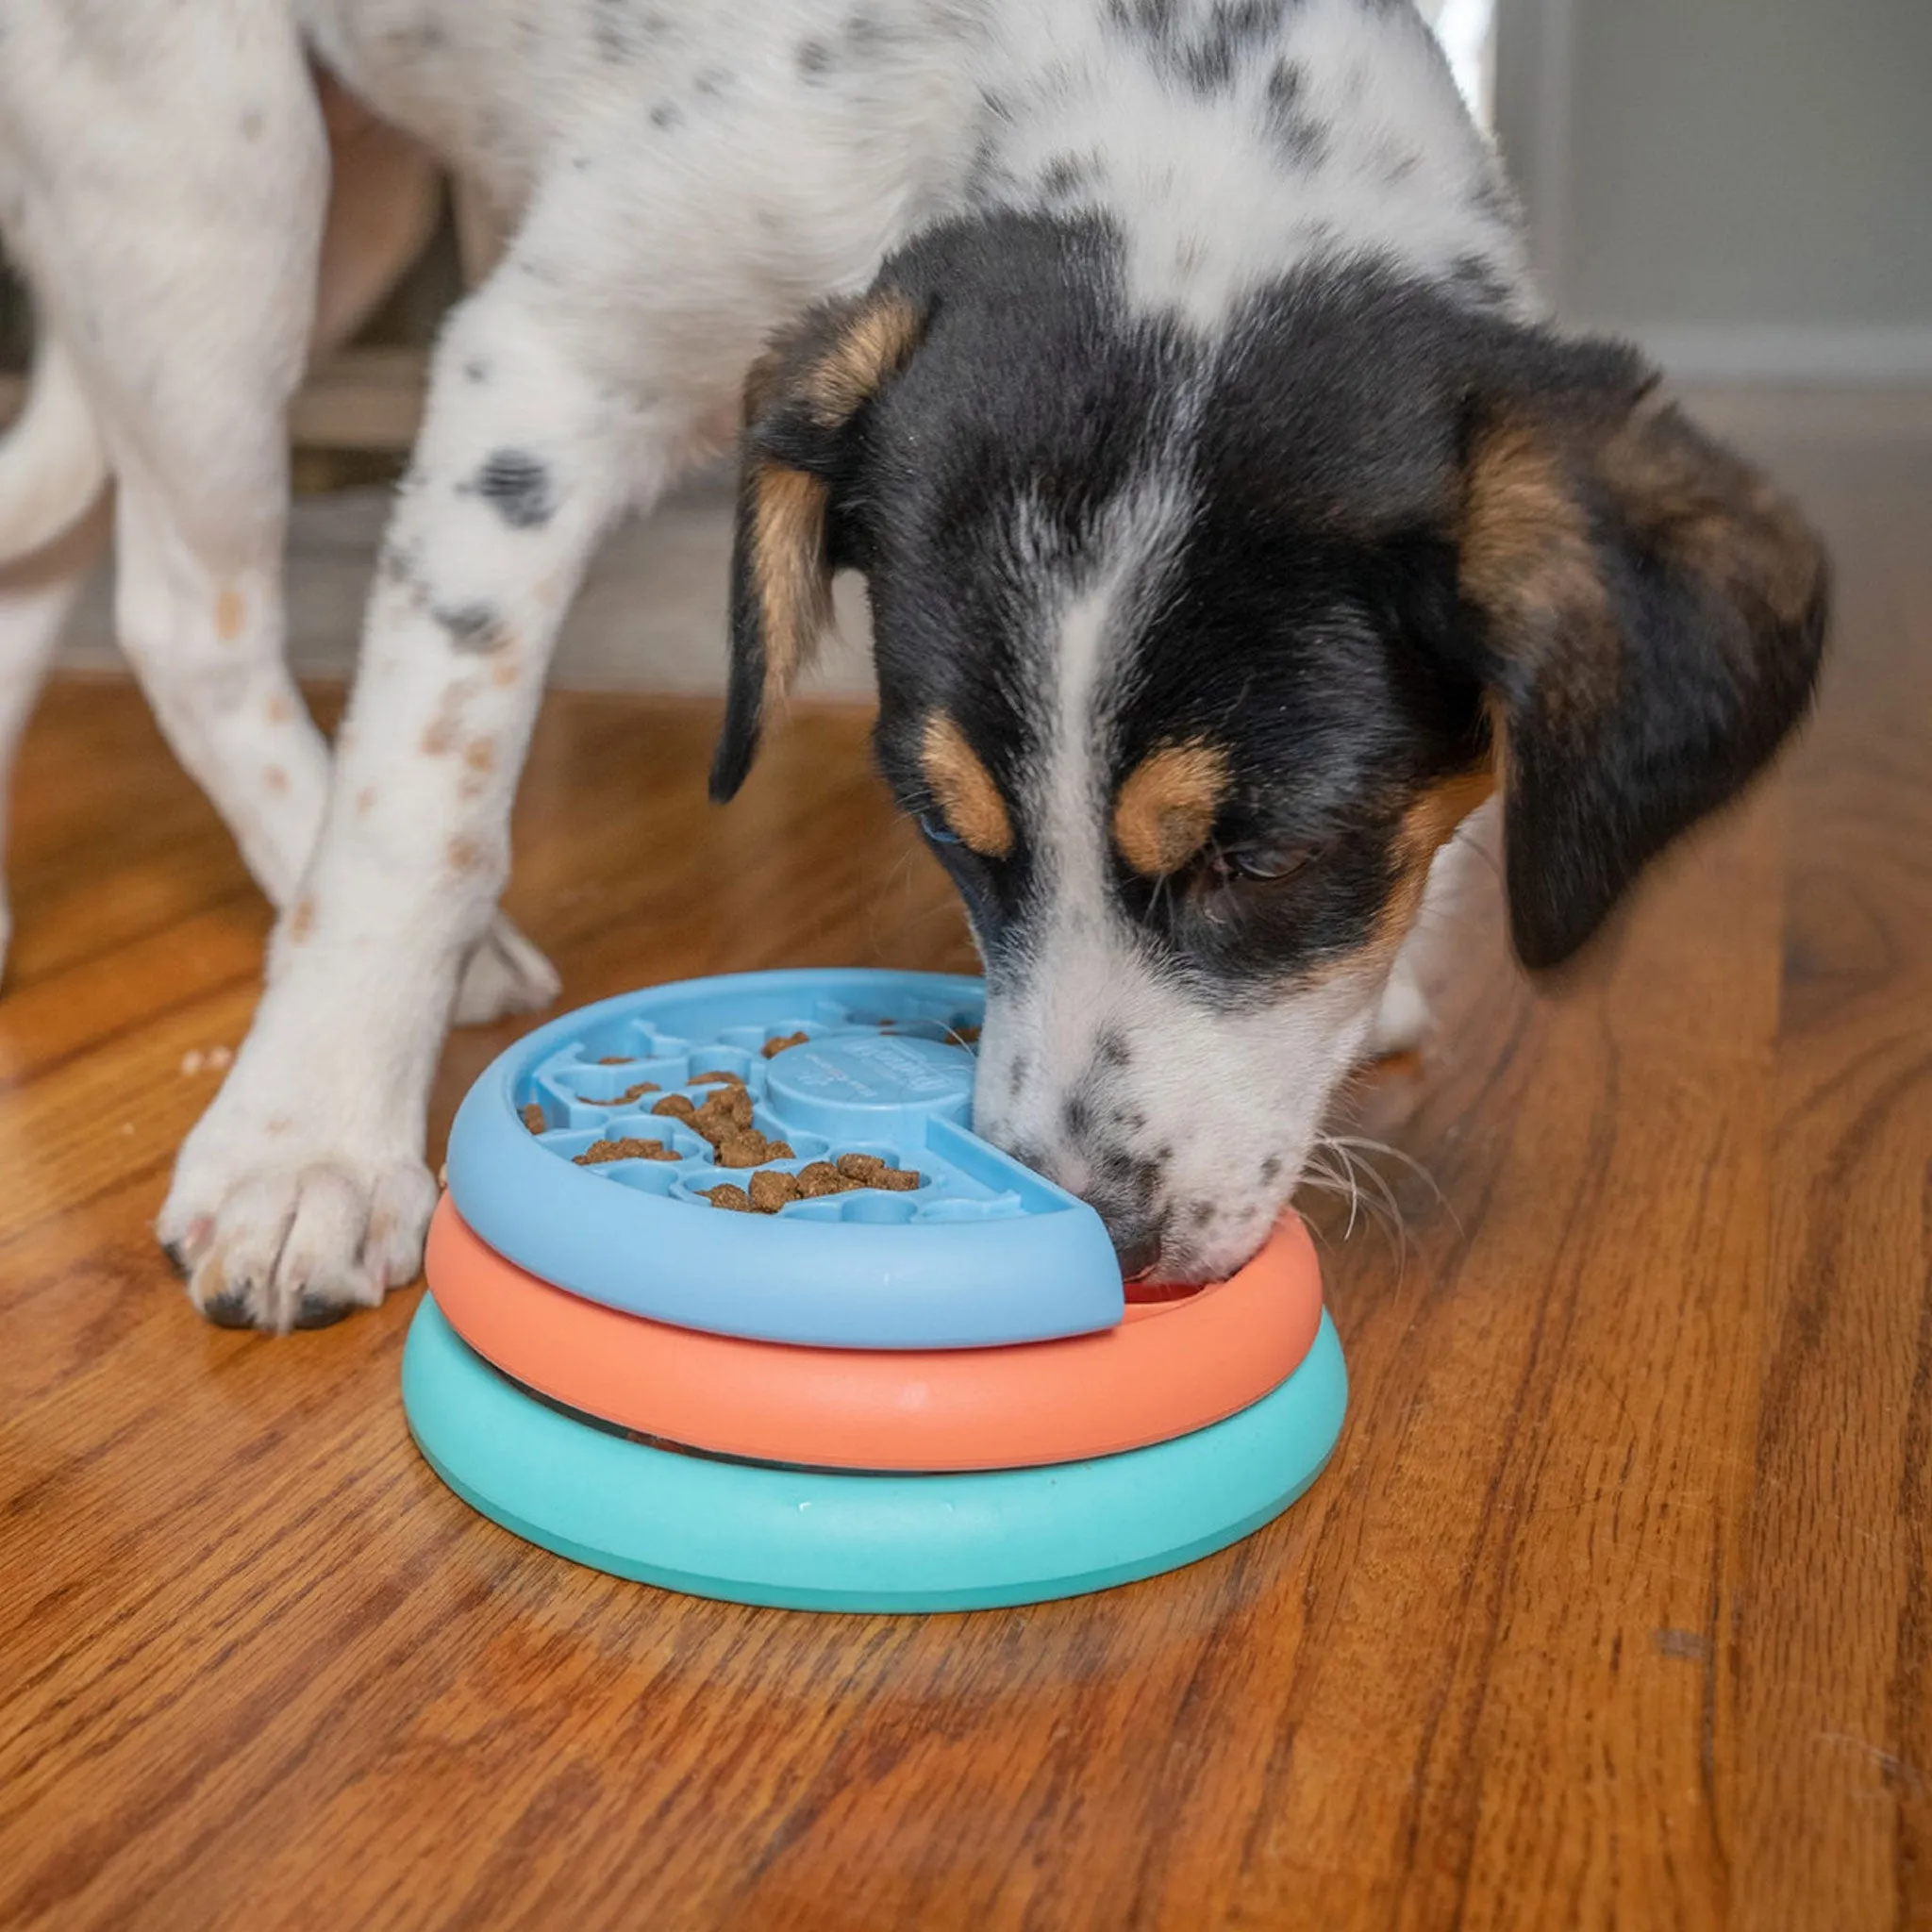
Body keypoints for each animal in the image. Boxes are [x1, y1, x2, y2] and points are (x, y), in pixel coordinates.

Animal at [0, 0, 1824, 1329]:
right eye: (949, 828)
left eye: (1270, 857)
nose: (1087, 1234)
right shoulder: (540, 362)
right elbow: (420, 806)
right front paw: (308, 1139)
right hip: (212, 182)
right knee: (179, 607)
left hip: (327, 212)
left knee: (48, 549)